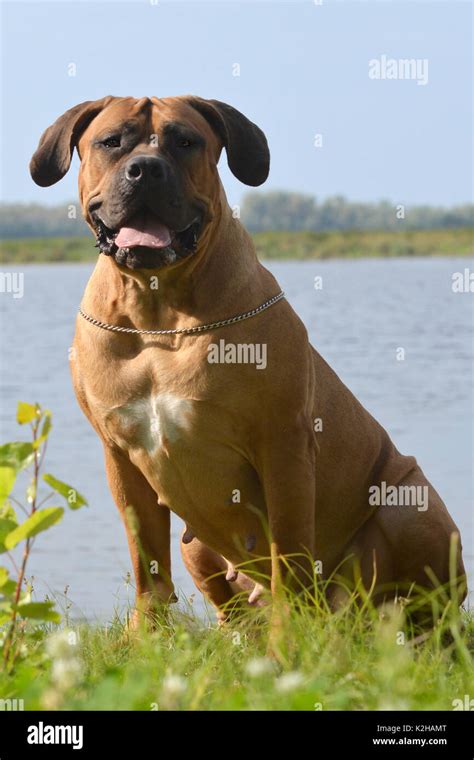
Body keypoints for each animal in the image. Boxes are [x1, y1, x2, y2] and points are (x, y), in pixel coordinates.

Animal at [30, 96, 466, 628]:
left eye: (185, 141)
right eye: (112, 142)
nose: (146, 169)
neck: (158, 315)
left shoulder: (282, 445)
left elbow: (290, 555)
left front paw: (288, 640)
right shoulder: (120, 458)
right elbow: (147, 565)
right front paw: (146, 636)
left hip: (410, 506)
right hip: (195, 545)